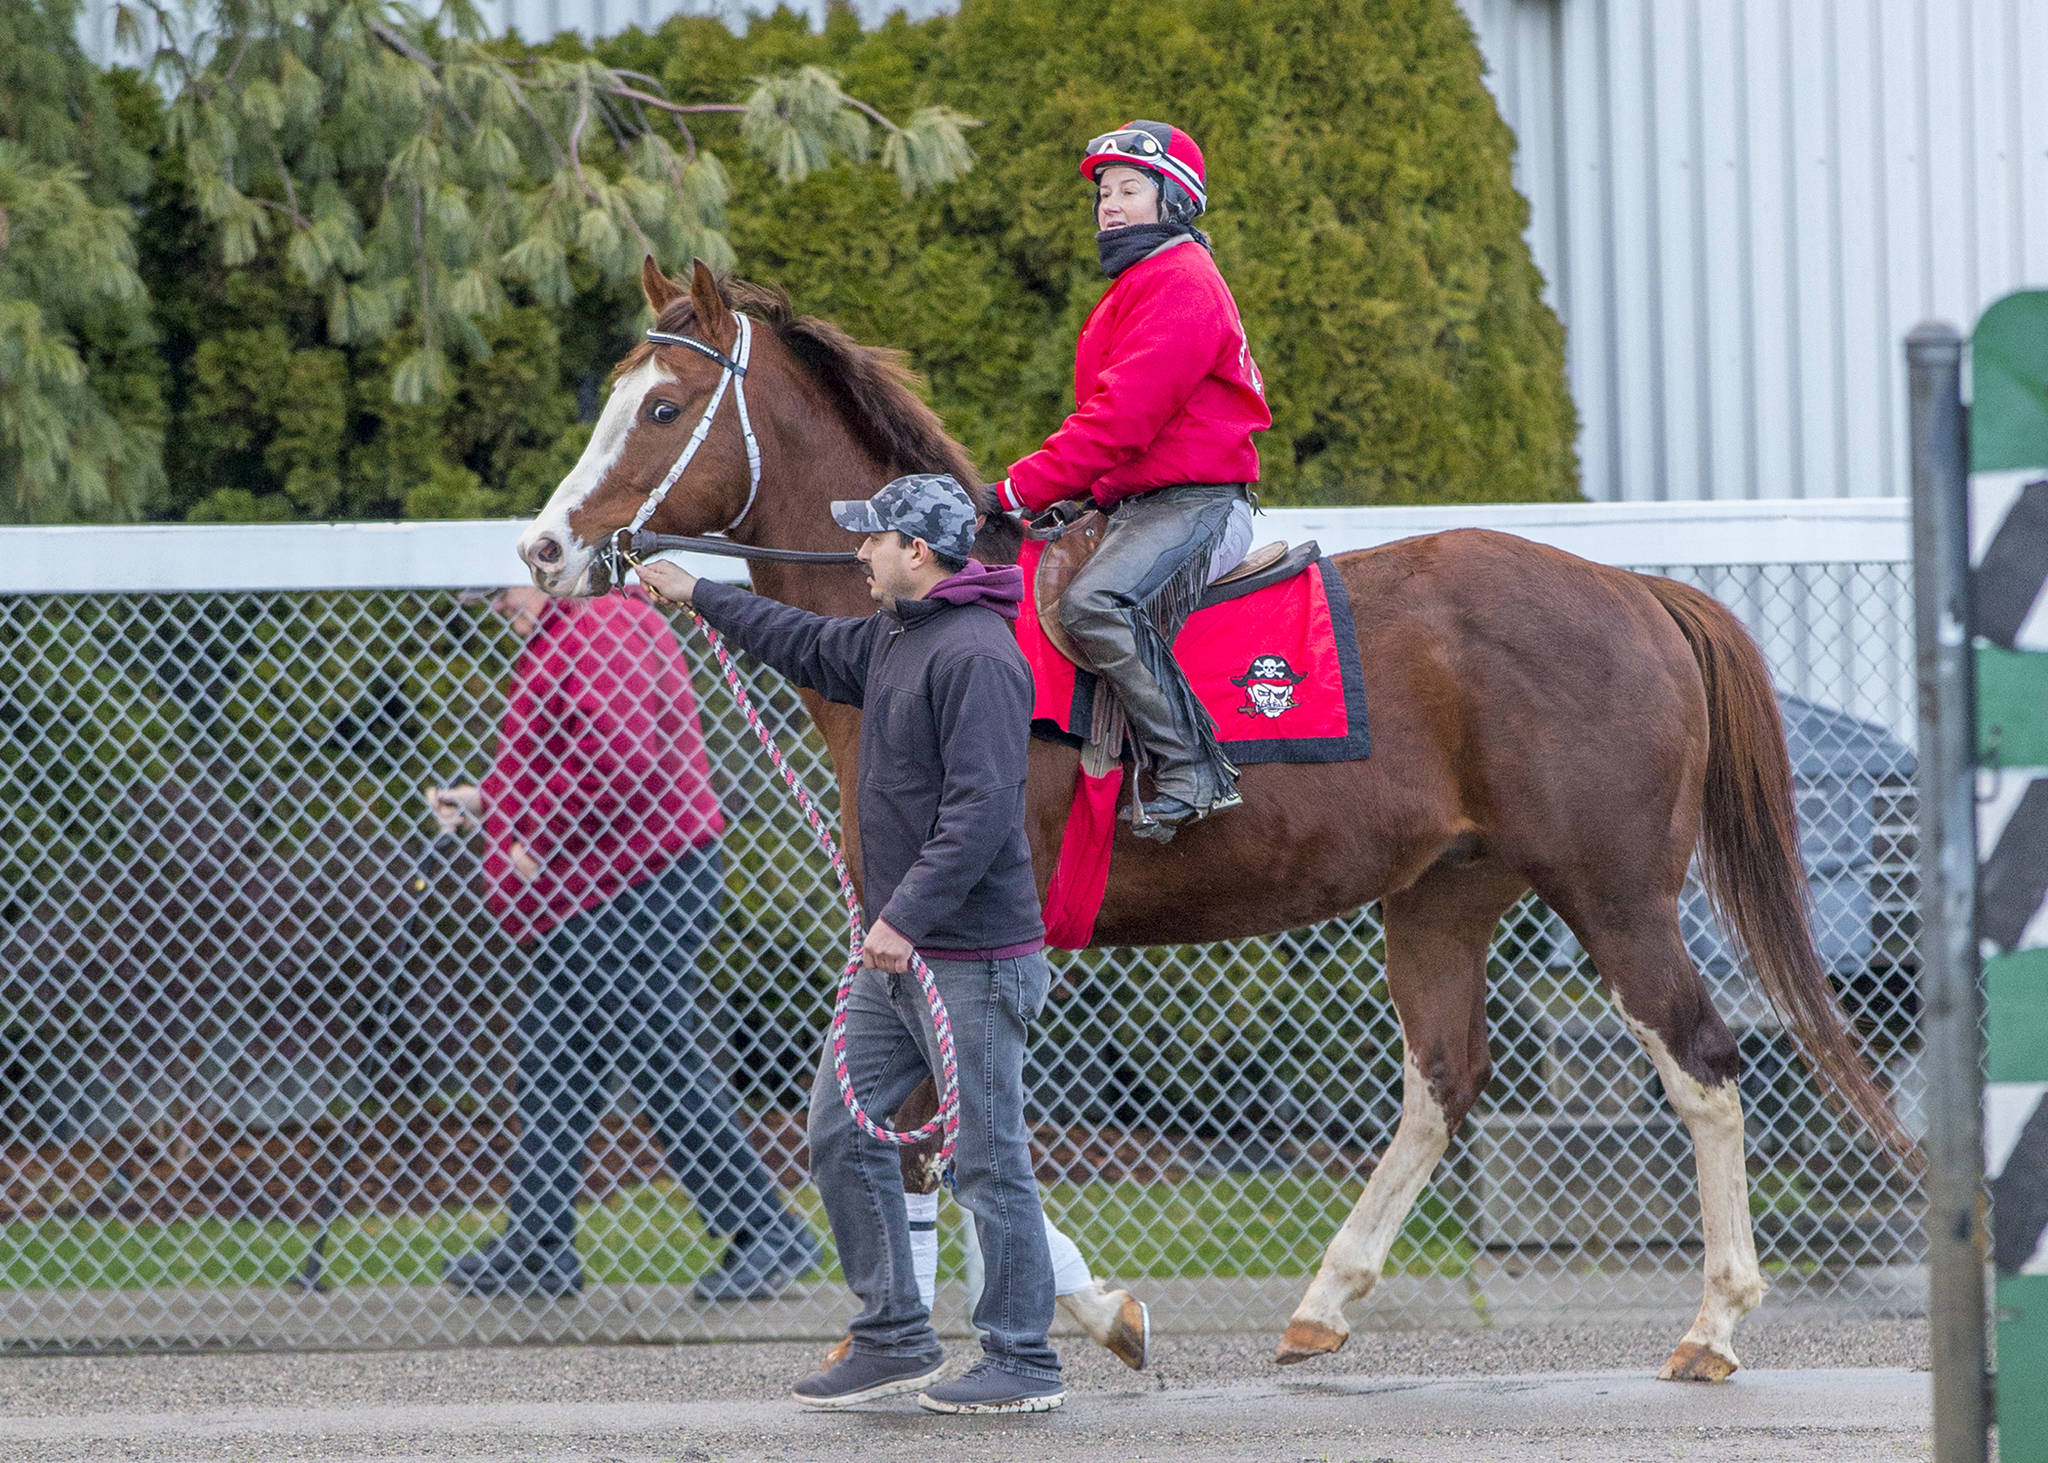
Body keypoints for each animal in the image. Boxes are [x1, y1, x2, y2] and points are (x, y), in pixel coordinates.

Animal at [516, 256, 1916, 1376]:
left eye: (661, 407)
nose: (544, 549)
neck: (931, 617)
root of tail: (1634, 591)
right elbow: (924, 1132)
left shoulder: (954, 927)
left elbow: (952, 1137)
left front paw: (1084, 1317)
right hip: (1441, 898)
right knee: (1441, 1082)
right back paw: (1324, 1301)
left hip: (1615, 895)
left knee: (1704, 1067)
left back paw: (1713, 1321)